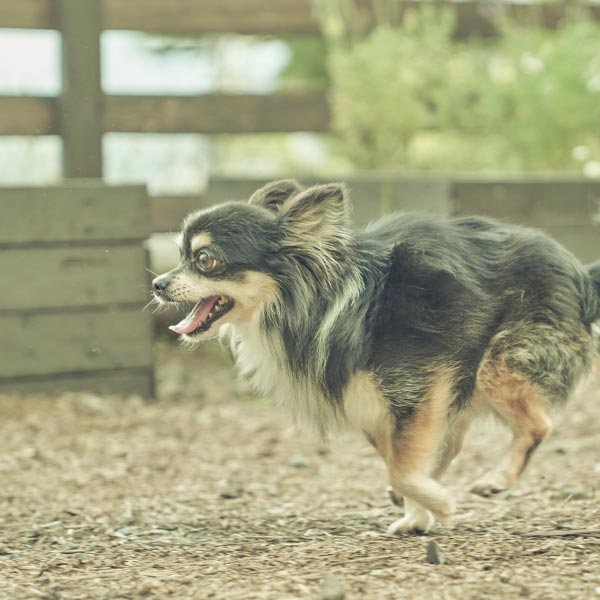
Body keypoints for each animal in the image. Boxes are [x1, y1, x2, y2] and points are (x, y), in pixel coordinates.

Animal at [151, 179, 600, 536]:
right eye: (180, 256)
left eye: (205, 260)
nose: (157, 283)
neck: (318, 305)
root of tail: (581, 273)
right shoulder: (375, 406)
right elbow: (401, 465)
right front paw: (420, 513)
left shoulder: (415, 391)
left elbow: (401, 470)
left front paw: (438, 505)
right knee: (451, 443)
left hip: (499, 366)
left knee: (537, 425)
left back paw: (497, 479)